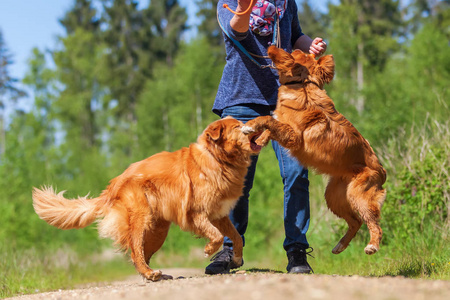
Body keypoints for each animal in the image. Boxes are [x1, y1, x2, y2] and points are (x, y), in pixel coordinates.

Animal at [33, 116, 262, 280]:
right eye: (237, 127)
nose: (254, 126)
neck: (217, 159)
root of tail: (115, 183)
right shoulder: (196, 213)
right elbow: (216, 235)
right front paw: (208, 250)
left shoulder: (219, 214)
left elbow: (236, 237)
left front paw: (236, 259)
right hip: (140, 217)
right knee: (135, 251)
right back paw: (150, 273)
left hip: (158, 230)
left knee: (143, 253)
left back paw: (155, 275)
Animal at [243, 47, 386, 255]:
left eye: (294, 51)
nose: (272, 46)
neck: (303, 85)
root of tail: (382, 171)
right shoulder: (285, 128)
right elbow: (271, 127)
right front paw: (259, 140)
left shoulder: (294, 137)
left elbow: (268, 120)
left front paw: (250, 126)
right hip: (334, 196)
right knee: (355, 222)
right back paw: (340, 246)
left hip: (358, 196)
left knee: (373, 223)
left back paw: (372, 245)